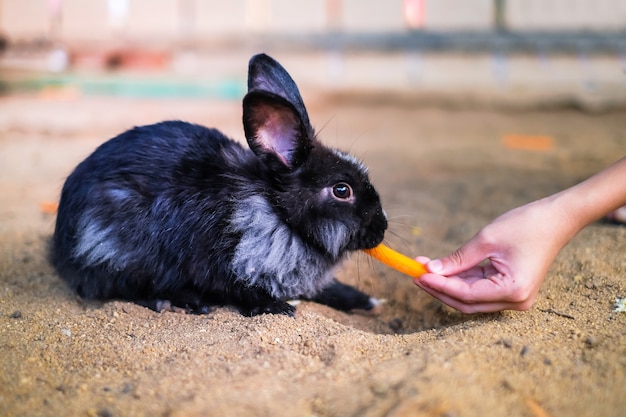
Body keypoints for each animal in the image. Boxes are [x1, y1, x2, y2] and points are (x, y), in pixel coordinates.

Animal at [52, 54, 386, 316]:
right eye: (342, 190)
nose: (381, 229)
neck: (277, 212)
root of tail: (60, 248)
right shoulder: (219, 263)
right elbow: (238, 289)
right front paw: (278, 308)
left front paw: (366, 300)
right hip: (118, 248)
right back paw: (181, 302)